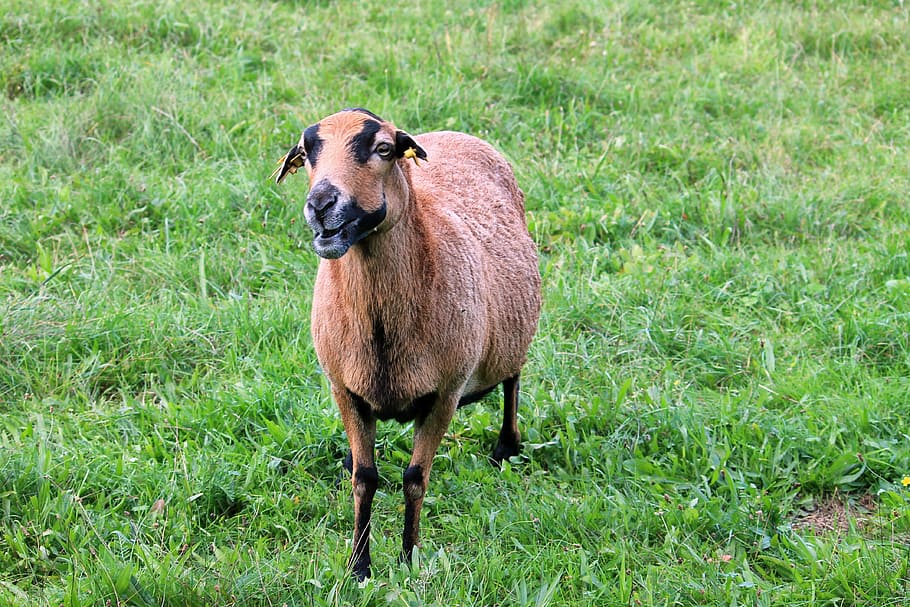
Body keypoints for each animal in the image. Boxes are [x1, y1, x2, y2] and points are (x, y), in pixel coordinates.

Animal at [273, 108, 541, 580]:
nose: (321, 205)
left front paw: (409, 558)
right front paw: (359, 566)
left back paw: (506, 448)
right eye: (305, 153)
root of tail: (456, 133)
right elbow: (365, 479)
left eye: (384, 149)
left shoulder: (445, 395)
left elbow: (415, 478)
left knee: (512, 379)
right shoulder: (344, 389)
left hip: (510, 331)